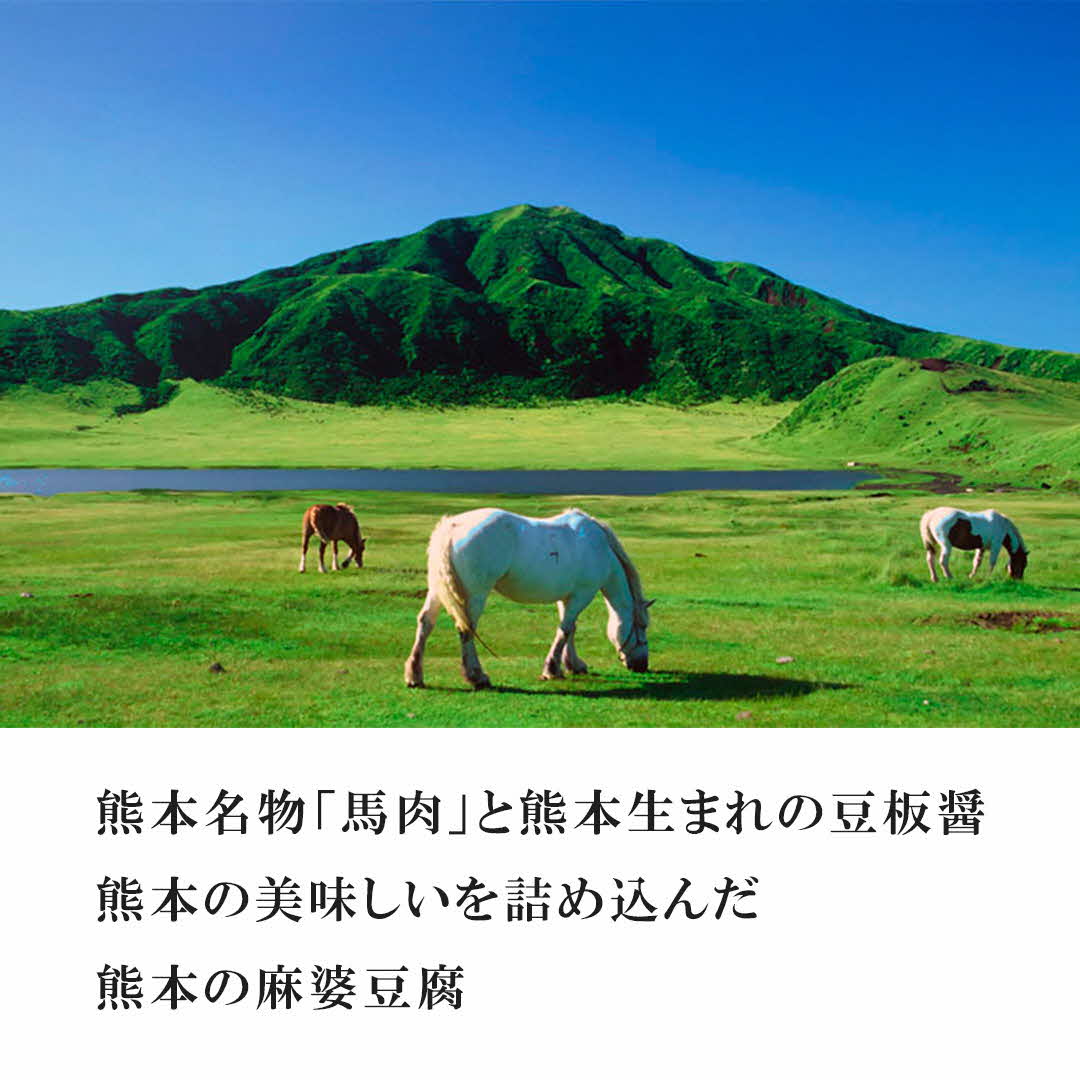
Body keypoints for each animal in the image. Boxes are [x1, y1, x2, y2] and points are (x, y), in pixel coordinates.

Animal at [404, 507, 653, 689]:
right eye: (642, 626)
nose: (642, 665)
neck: (599, 547)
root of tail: (451, 527)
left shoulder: (566, 597)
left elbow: (569, 629)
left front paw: (572, 665)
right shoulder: (582, 595)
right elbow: (565, 630)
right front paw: (552, 670)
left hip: (436, 591)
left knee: (425, 623)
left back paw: (415, 675)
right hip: (475, 595)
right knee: (467, 630)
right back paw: (477, 676)